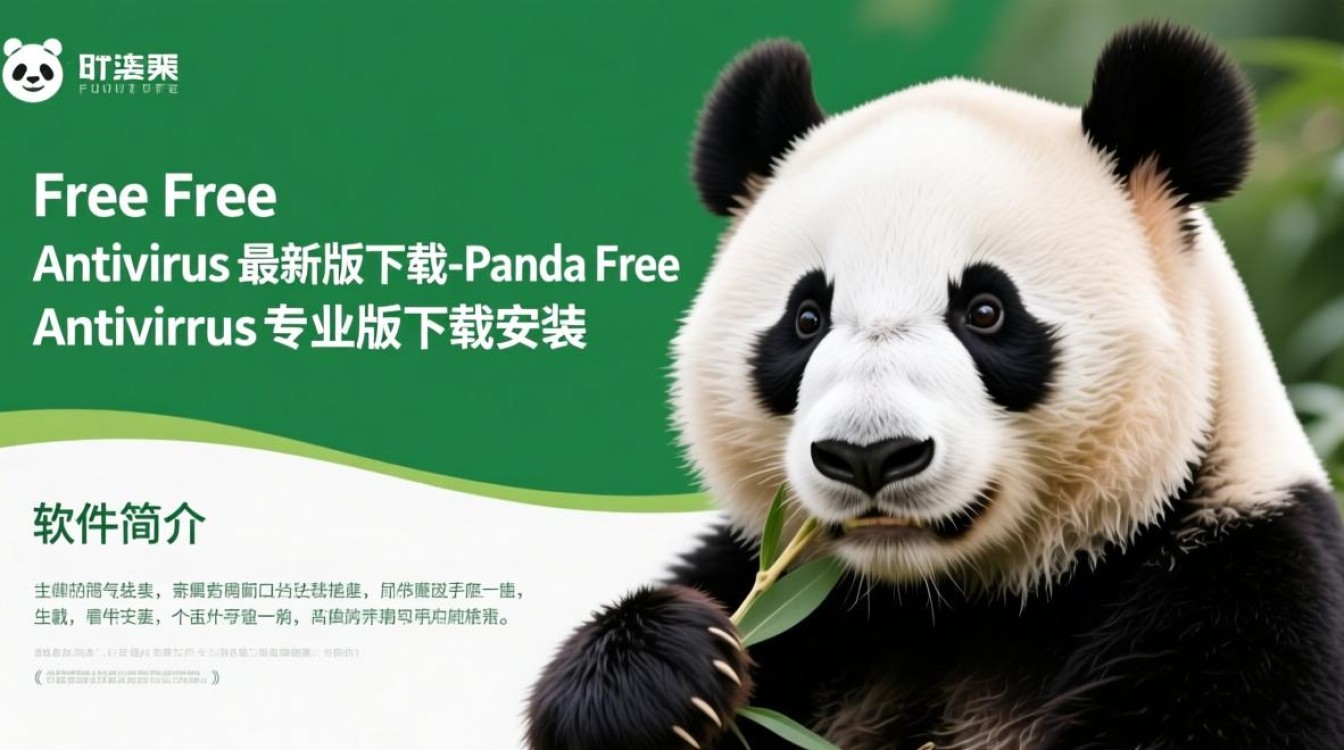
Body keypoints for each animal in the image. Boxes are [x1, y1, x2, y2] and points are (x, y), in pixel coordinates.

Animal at [527, 22, 1344, 750]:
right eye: (806, 318)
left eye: (985, 311)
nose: (869, 455)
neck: (945, 604)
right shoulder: (792, 599)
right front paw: (659, 679)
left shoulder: (1238, 586)